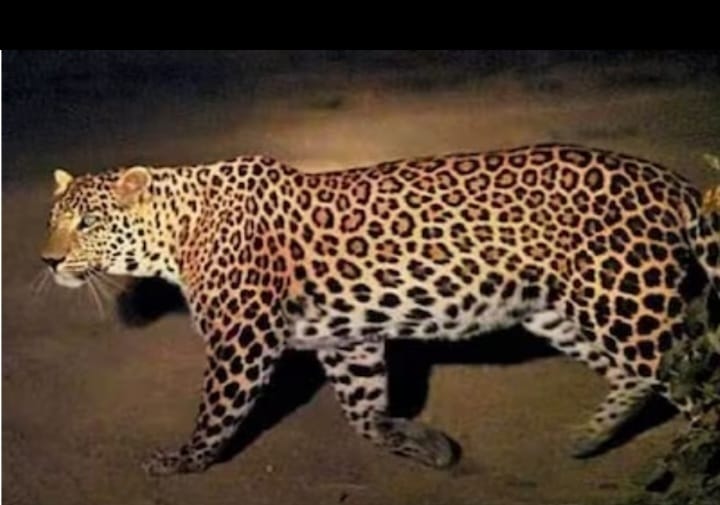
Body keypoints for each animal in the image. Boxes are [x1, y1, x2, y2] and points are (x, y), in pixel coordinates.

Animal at [40, 143, 720, 476]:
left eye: (88, 223)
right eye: (53, 219)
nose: (47, 260)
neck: (176, 233)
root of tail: (669, 181)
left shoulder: (244, 339)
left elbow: (218, 410)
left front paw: (183, 461)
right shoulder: (349, 340)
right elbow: (363, 412)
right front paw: (424, 444)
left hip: (623, 300)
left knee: (689, 375)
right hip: (562, 308)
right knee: (640, 376)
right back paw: (587, 437)